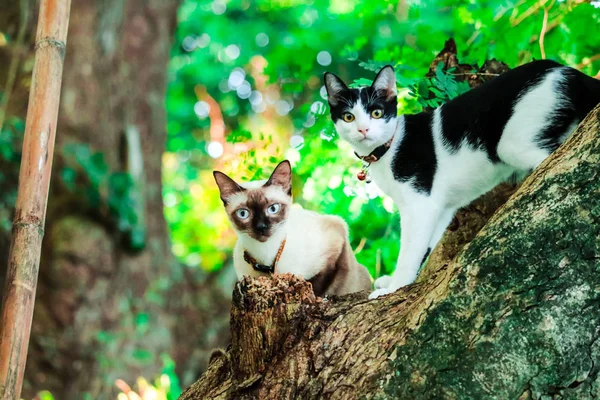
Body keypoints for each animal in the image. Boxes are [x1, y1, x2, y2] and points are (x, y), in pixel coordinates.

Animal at [213, 160, 372, 296]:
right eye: (243, 213)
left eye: (273, 208)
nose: (261, 227)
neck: (266, 258)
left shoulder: (336, 236)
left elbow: (318, 285)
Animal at [324, 59, 600, 296]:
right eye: (349, 117)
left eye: (377, 113)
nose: (363, 130)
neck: (388, 148)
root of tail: (566, 69)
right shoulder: (440, 207)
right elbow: (425, 247)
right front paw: (397, 282)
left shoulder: (420, 203)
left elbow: (410, 250)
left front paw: (394, 287)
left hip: (512, 142)